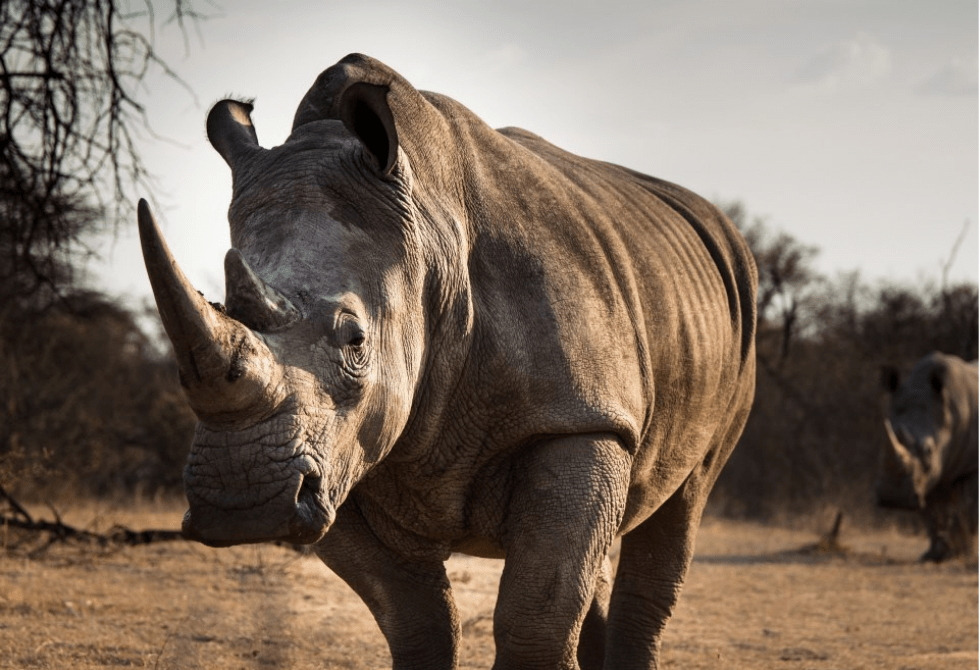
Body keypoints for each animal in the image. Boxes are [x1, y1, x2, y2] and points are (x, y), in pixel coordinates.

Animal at [139, 53, 757, 669]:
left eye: (355, 340)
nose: (241, 501)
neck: (430, 239)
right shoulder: (339, 461)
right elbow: (417, 619)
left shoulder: (581, 418)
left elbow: (534, 621)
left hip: (734, 325)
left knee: (682, 503)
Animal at [878, 352, 978, 562]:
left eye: (928, 450)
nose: (892, 498)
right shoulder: (925, 478)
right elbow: (932, 514)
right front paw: (934, 554)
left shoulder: (972, 465)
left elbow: (969, 508)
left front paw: (958, 553)